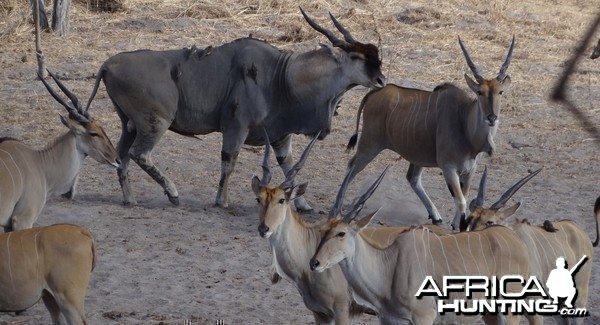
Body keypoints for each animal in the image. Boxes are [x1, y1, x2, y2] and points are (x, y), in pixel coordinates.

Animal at [342, 36, 516, 230]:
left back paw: (435, 216)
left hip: (417, 156)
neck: (464, 122)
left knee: (412, 178)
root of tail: (375, 92)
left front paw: (455, 224)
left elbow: (464, 198)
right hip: (369, 145)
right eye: (479, 92)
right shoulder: (448, 168)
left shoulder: (469, 170)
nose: (492, 117)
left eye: (501, 92)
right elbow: (461, 201)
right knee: (351, 167)